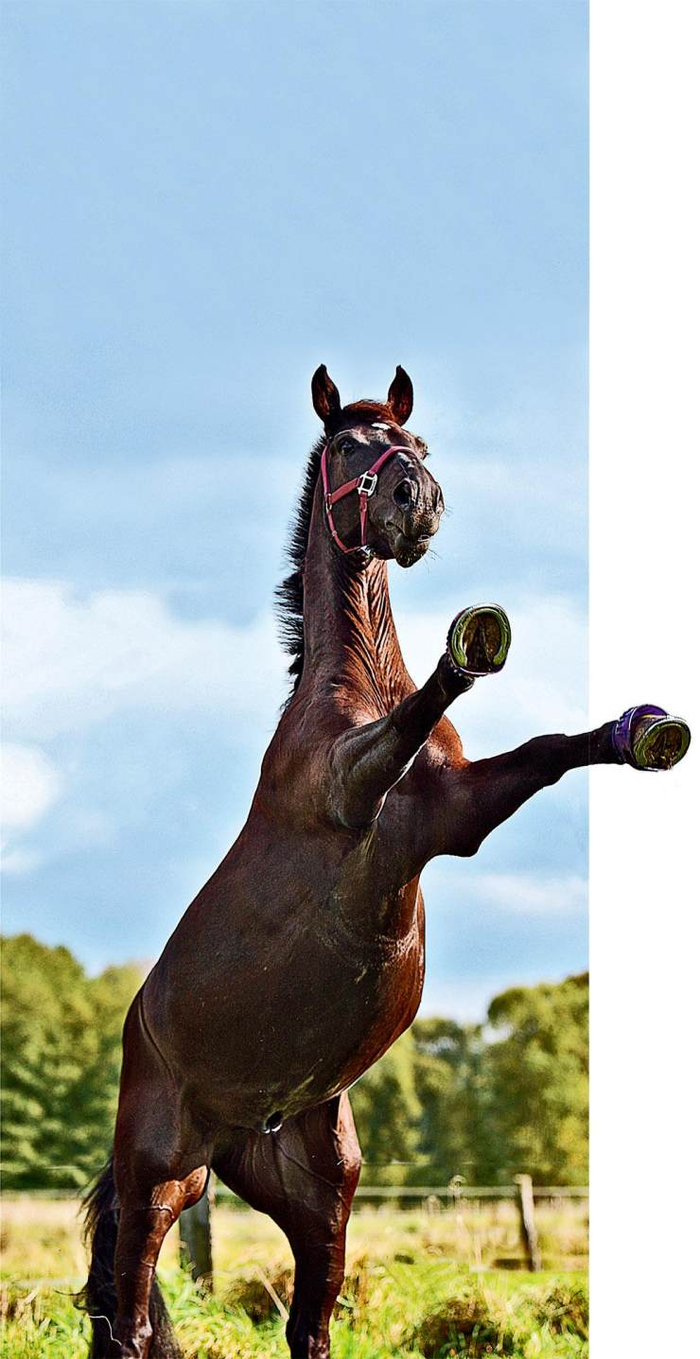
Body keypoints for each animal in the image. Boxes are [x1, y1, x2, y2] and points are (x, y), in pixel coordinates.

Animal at [81, 365, 690, 1358]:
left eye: (420, 443)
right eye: (347, 446)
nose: (420, 501)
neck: (353, 689)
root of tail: (238, 1126)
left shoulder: (455, 816)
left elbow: (549, 749)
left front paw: (645, 733)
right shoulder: (352, 789)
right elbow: (419, 716)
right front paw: (471, 642)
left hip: (316, 1188)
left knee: (308, 1323)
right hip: (158, 1171)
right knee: (128, 1318)